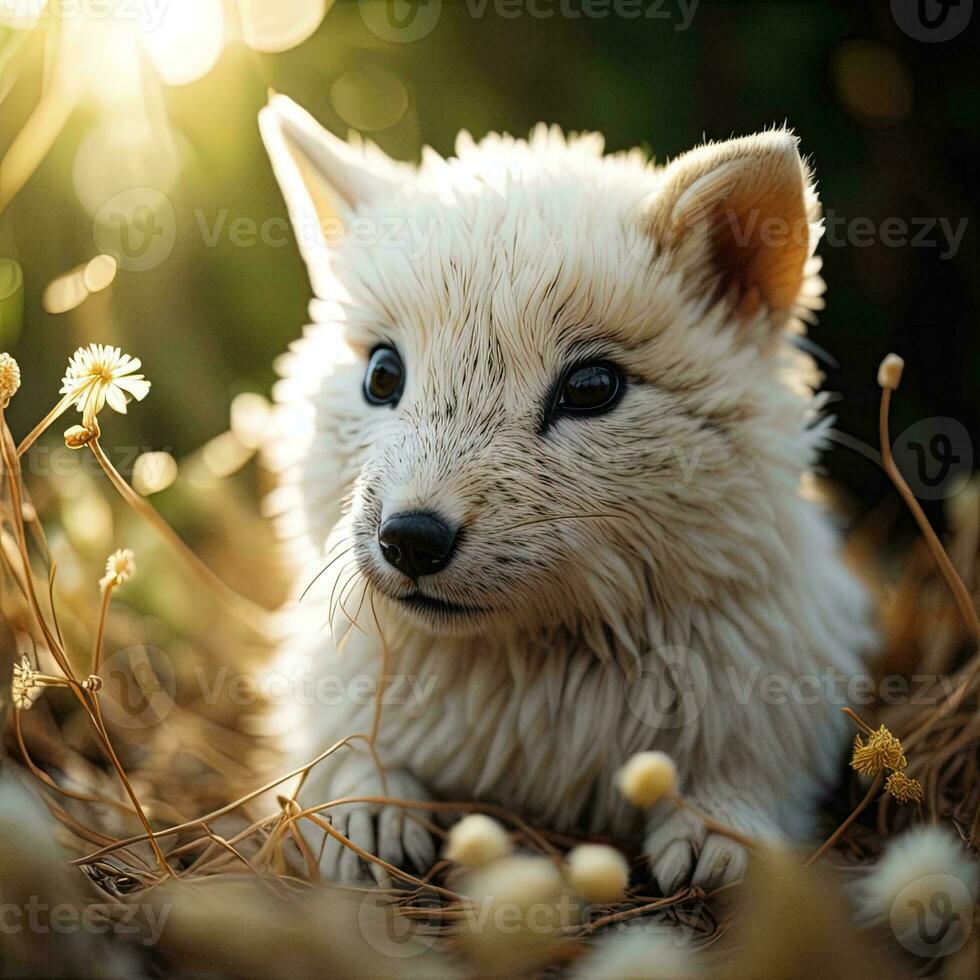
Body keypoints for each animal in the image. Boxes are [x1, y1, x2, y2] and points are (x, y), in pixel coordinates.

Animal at [260, 97, 872, 888]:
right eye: (382, 375)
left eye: (590, 388)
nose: (410, 541)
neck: (541, 661)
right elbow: (348, 758)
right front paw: (369, 816)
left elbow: (747, 773)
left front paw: (718, 829)